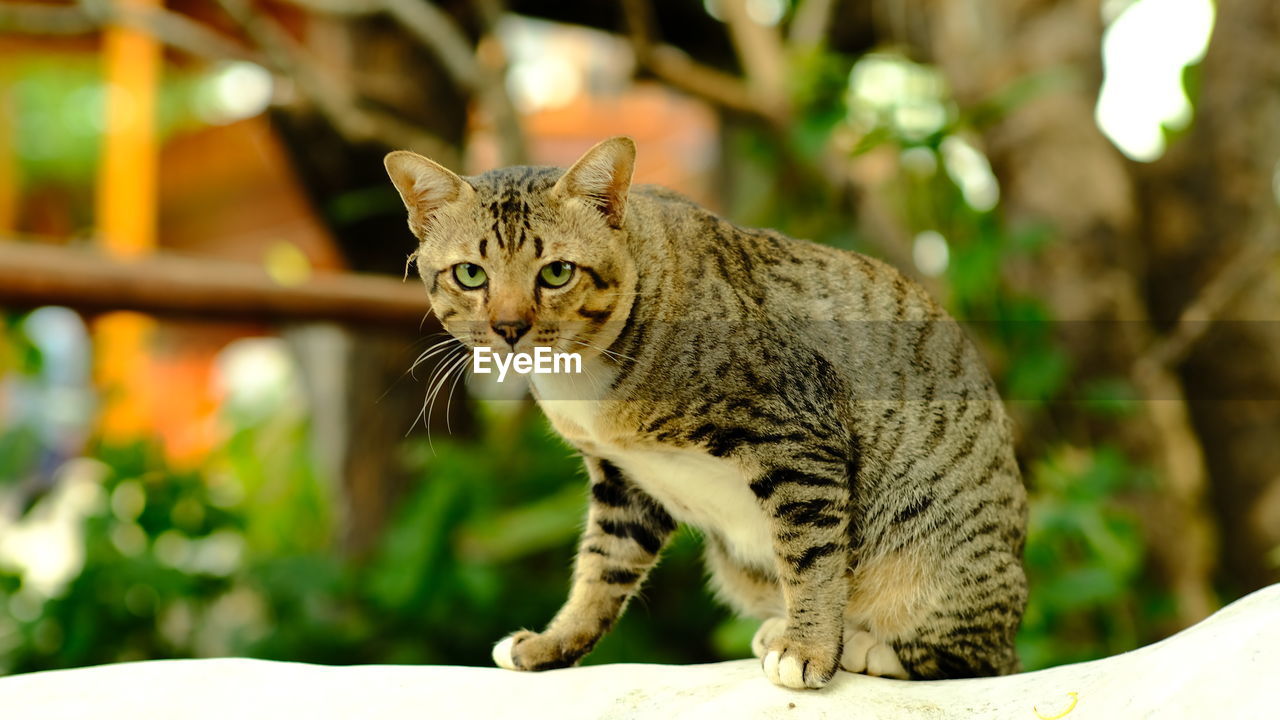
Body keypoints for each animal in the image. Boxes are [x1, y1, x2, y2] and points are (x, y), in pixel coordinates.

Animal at [381, 135, 1029, 691]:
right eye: (471, 274)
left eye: (557, 272)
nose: (509, 327)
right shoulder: (625, 484)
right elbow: (599, 571)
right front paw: (551, 644)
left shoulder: (798, 435)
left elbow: (813, 559)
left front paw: (811, 650)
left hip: (939, 559)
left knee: (981, 656)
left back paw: (861, 644)